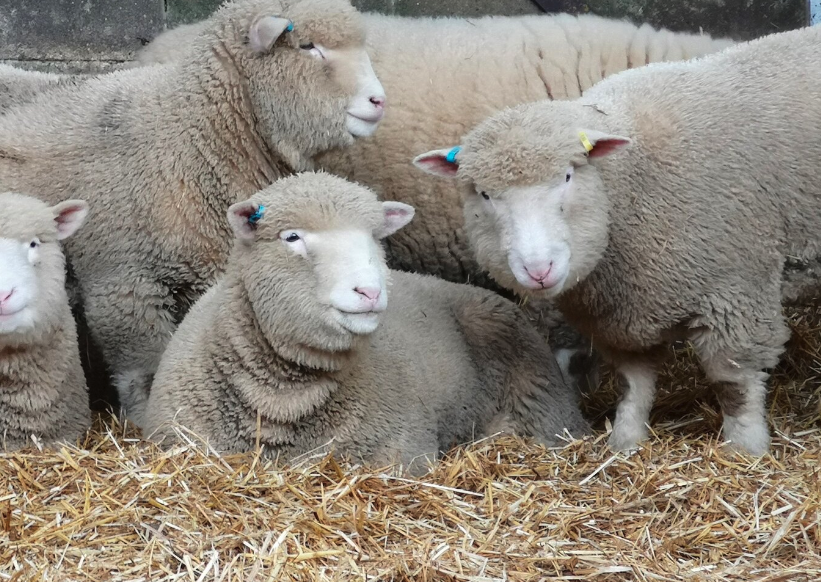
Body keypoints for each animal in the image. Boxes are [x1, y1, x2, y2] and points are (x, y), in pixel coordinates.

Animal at [143, 173, 588, 474]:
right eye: (291, 237)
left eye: (375, 237)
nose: (370, 291)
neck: (284, 400)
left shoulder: (402, 449)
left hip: (542, 400)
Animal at [414, 25, 820, 456]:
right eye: (485, 195)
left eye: (568, 177)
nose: (539, 269)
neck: (627, 184)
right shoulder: (623, 314)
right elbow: (632, 384)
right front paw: (625, 443)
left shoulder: (735, 294)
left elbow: (734, 384)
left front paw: (746, 449)